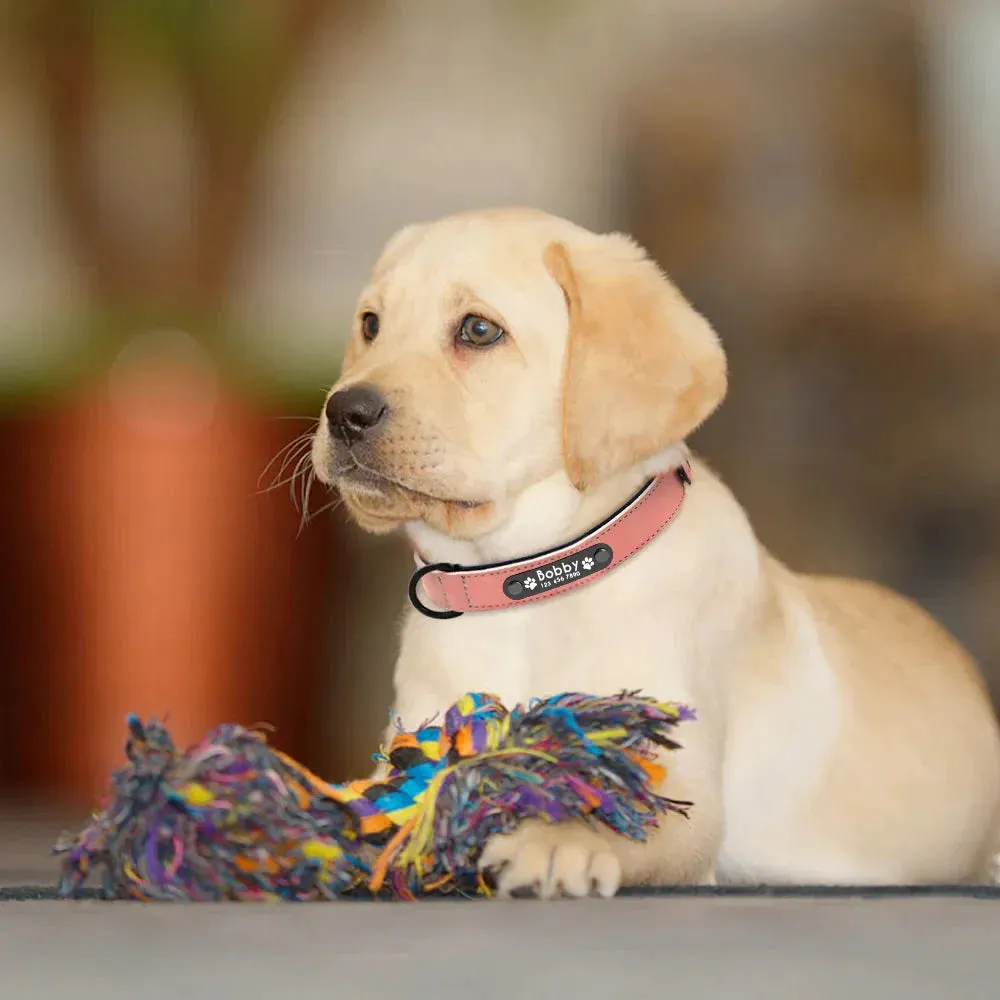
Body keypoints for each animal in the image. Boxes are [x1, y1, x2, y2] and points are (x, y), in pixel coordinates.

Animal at [310, 207, 1000, 896]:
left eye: (478, 330)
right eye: (370, 325)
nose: (344, 411)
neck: (522, 579)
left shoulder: (683, 782)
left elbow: (620, 808)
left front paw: (554, 840)